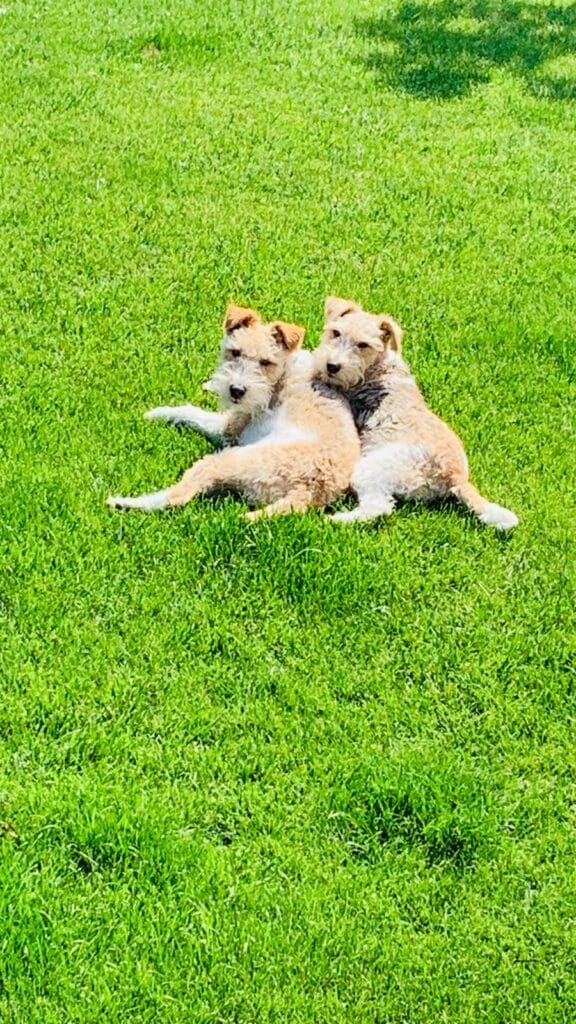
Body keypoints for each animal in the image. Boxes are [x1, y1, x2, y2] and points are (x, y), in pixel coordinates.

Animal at [106, 299, 358, 516]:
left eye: (266, 362)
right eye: (235, 352)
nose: (236, 390)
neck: (282, 374)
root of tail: (309, 491)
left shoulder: (231, 427)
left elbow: (192, 412)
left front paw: (157, 412)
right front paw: (212, 384)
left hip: (227, 459)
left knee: (178, 497)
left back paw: (123, 502)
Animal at [311, 296, 518, 532]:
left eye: (363, 345)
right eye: (335, 332)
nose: (332, 366)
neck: (377, 366)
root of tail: (456, 478)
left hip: (372, 467)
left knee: (377, 507)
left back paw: (335, 520)